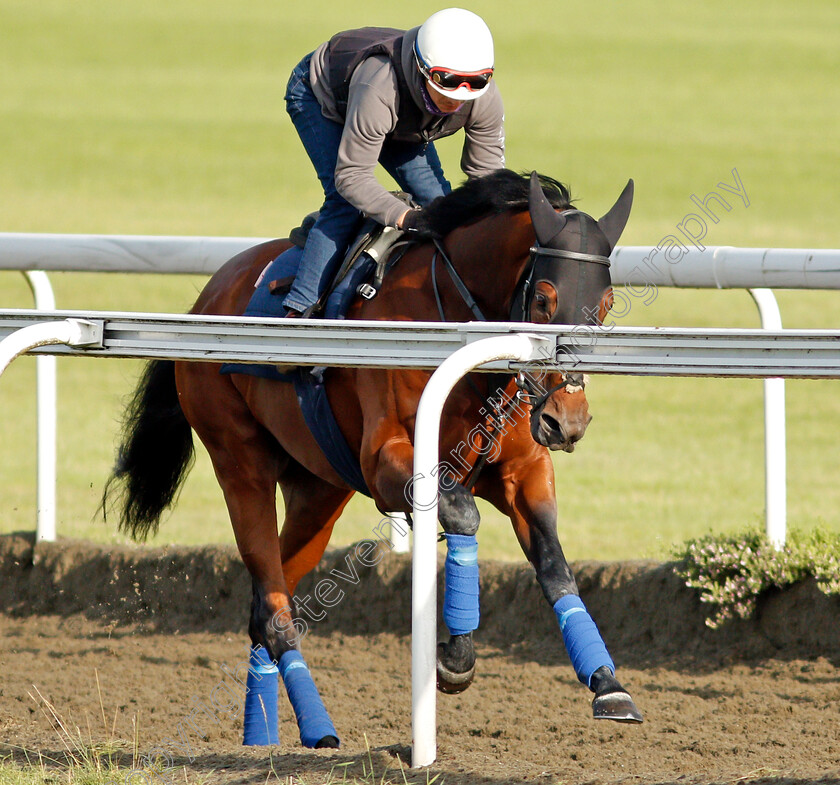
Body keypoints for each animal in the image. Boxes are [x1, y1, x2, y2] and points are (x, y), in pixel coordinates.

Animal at [105, 170, 644, 748]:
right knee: (271, 603)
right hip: (238, 463)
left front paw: (608, 684)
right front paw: (454, 658)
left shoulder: (524, 472)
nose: (568, 421)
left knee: (266, 603)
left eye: (606, 304)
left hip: (318, 492)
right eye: (544, 300)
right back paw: (318, 727)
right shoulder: (388, 461)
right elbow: (462, 515)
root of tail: (204, 297)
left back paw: (262, 732)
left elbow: (555, 566)